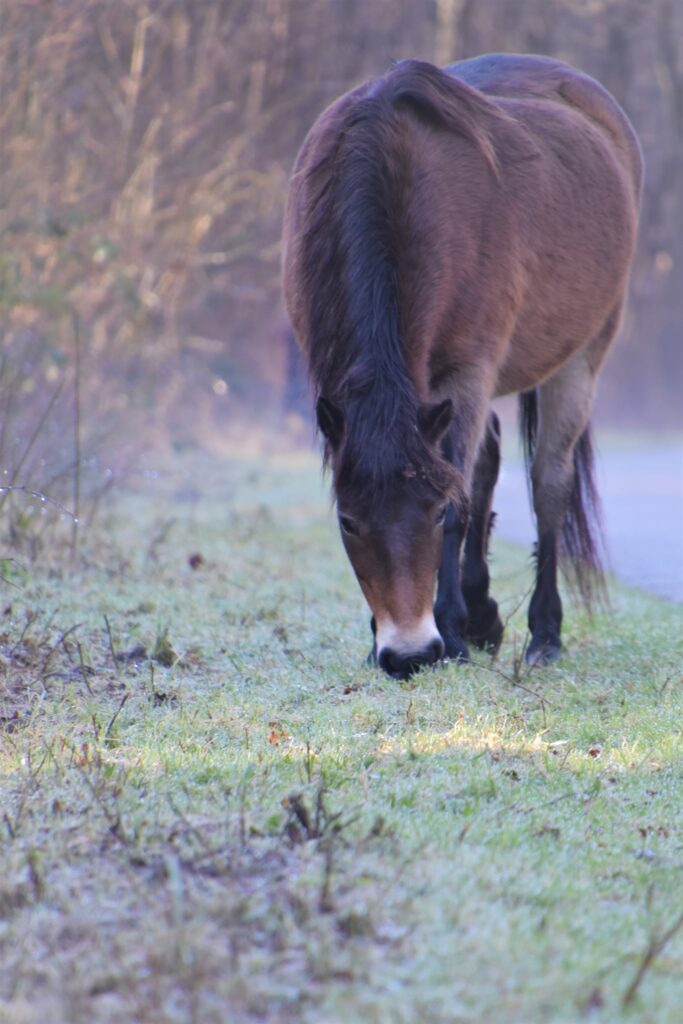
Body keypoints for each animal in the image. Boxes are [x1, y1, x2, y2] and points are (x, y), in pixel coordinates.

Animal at [282, 54, 642, 679]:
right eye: (348, 522)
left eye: (428, 515)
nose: (407, 654)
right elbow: (467, 479)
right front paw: (418, 631)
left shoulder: (467, 370)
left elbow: (459, 499)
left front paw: (449, 633)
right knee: (490, 456)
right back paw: (482, 613)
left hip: (580, 358)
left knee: (547, 482)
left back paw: (542, 633)